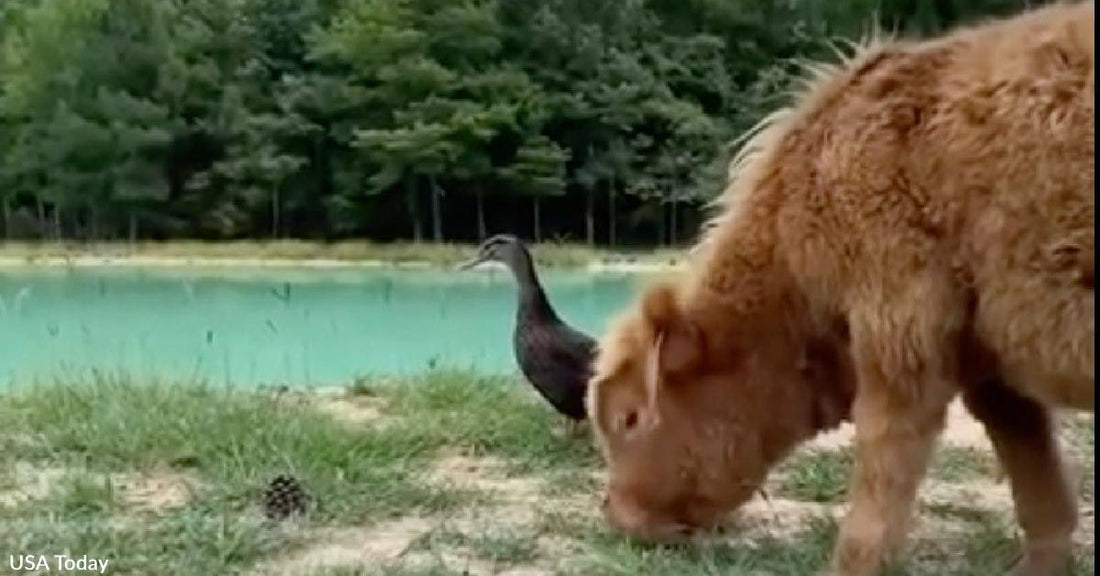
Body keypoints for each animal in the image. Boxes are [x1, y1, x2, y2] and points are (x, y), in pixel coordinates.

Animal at [585, 2, 1091, 571]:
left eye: (629, 418)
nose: (616, 515)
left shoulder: (899, 332)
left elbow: (881, 472)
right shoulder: (984, 353)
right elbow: (1032, 464)